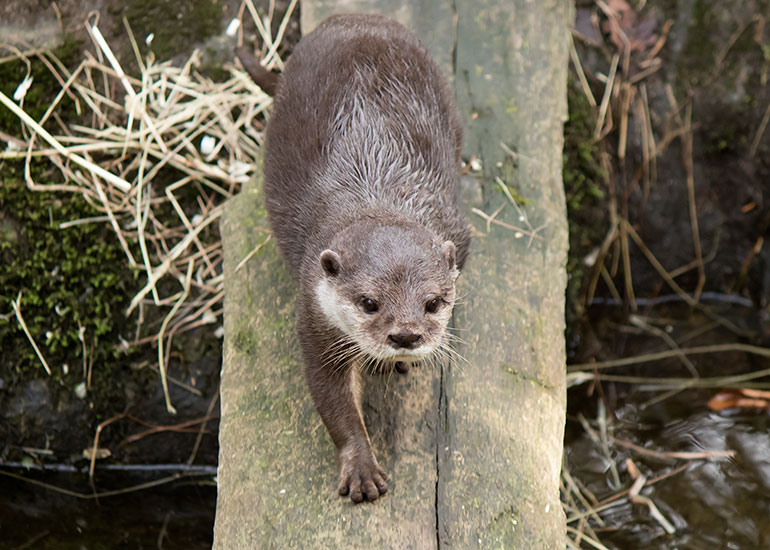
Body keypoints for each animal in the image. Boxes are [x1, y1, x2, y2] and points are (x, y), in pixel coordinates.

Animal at [238, 13, 471, 503]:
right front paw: (361, 467)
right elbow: (333, 399)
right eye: (368, 303)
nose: (406, 336)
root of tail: (354, 18)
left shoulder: (460, 236)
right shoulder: (313, 309)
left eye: (433, 303)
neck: (376, 193)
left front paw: (405, 359)